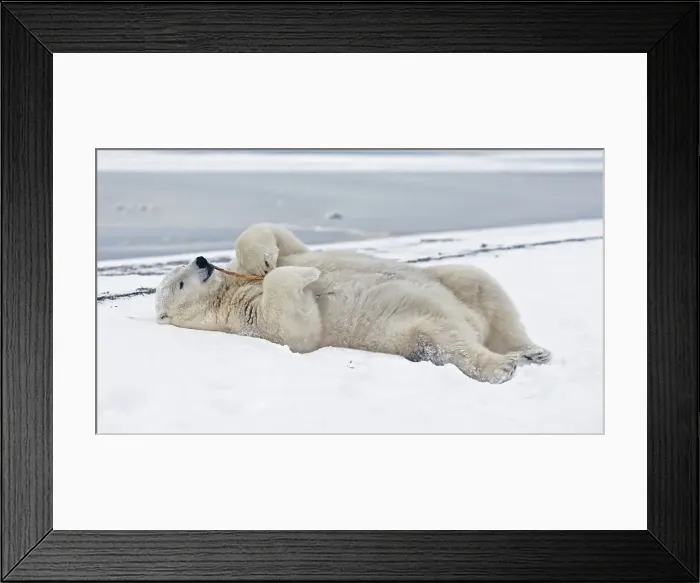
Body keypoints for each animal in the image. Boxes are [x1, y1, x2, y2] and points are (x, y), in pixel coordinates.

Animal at [155, 223, 551, 383]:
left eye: (181, 271)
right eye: (180, 282)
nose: (202, 261)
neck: (228, 293)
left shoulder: (250, 269)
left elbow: (280, 239)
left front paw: (266, 262)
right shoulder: (248, 320)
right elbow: (299, 328)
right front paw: (306, 275)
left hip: (453, 282)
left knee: (480, 283)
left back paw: (531, 351)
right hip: (413, 329)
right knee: (447, 339)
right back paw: (501, 366)